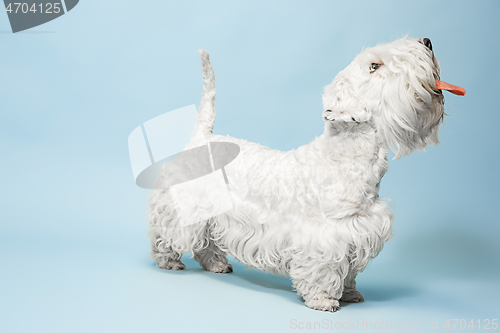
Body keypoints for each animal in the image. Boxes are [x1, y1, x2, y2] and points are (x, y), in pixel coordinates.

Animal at [147, 37, 464, 312]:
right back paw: (168, 262)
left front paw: (350, 293)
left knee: (207, 243)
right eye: (375, 66)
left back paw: (217, 264)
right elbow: (325, 269)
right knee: (166, 235)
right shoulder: (324, 237)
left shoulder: (356, 231)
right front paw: (324, 300)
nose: (427, 41)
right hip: (183, 207)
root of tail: (202, 136)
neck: (346, 157)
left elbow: (348, 269)